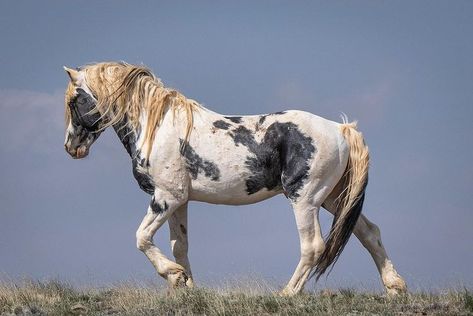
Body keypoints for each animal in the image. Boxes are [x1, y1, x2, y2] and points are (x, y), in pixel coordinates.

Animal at [62, 62, 408, 296]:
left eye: (74, 100)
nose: (71, 147)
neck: (156, 129)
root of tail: (341, 129)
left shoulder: (165, 198)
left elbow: (142, 238)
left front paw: (173, 276)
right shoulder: (180, 201)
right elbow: (180, 247)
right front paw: (185, 288)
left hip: (306, 199)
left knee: (313, 246)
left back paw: (287, 294)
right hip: (335, 198)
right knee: (369, 233)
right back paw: (394, 287)